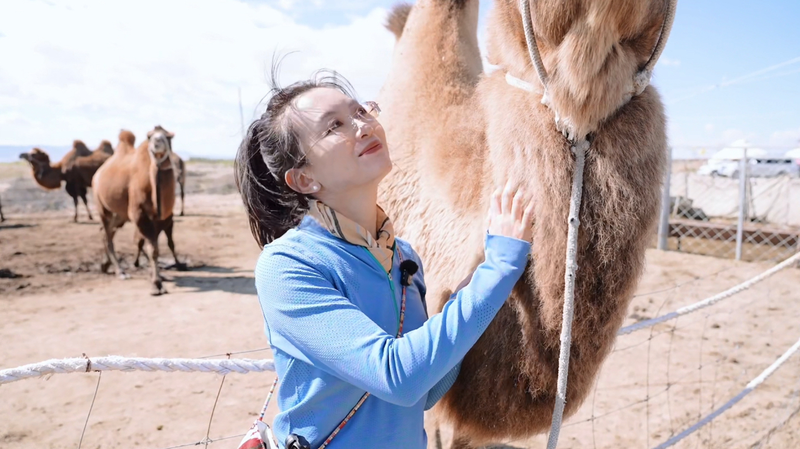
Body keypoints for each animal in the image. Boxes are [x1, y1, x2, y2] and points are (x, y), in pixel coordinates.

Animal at [92, 127, 182, 295]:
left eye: (169, 136)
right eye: (149, 136)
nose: (157, 142)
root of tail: (97, 174)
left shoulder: (161, 218)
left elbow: (154, 246)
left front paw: (159, 277)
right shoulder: (139, 214)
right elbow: (152, 248)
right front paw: (156, 284)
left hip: (120, 215)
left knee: (107, 231)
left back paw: (104, 264)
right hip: (102, 206)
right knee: (107, 233)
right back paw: (120, 271)